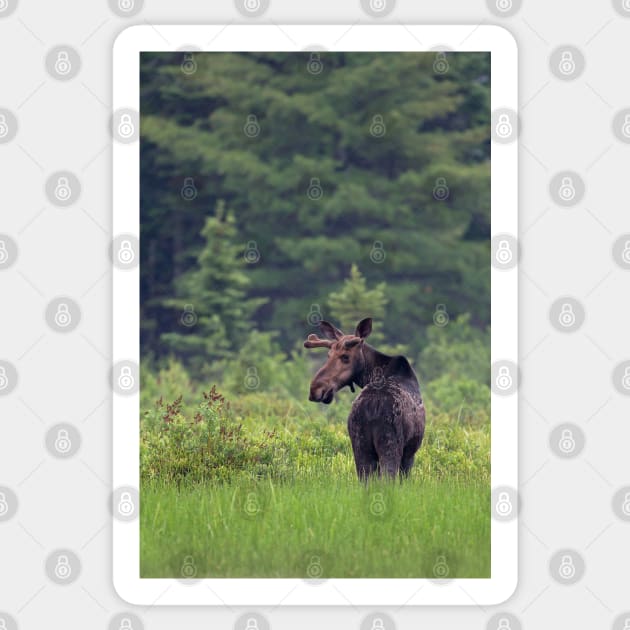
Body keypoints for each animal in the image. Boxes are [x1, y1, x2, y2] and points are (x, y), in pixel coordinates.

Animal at [304, 318, 428, 482]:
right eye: (328, 355)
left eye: (345, 356)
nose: (315, 389)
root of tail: (371, 407)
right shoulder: (410, 451)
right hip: (390, 444)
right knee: (388, 478)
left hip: (359, 444)